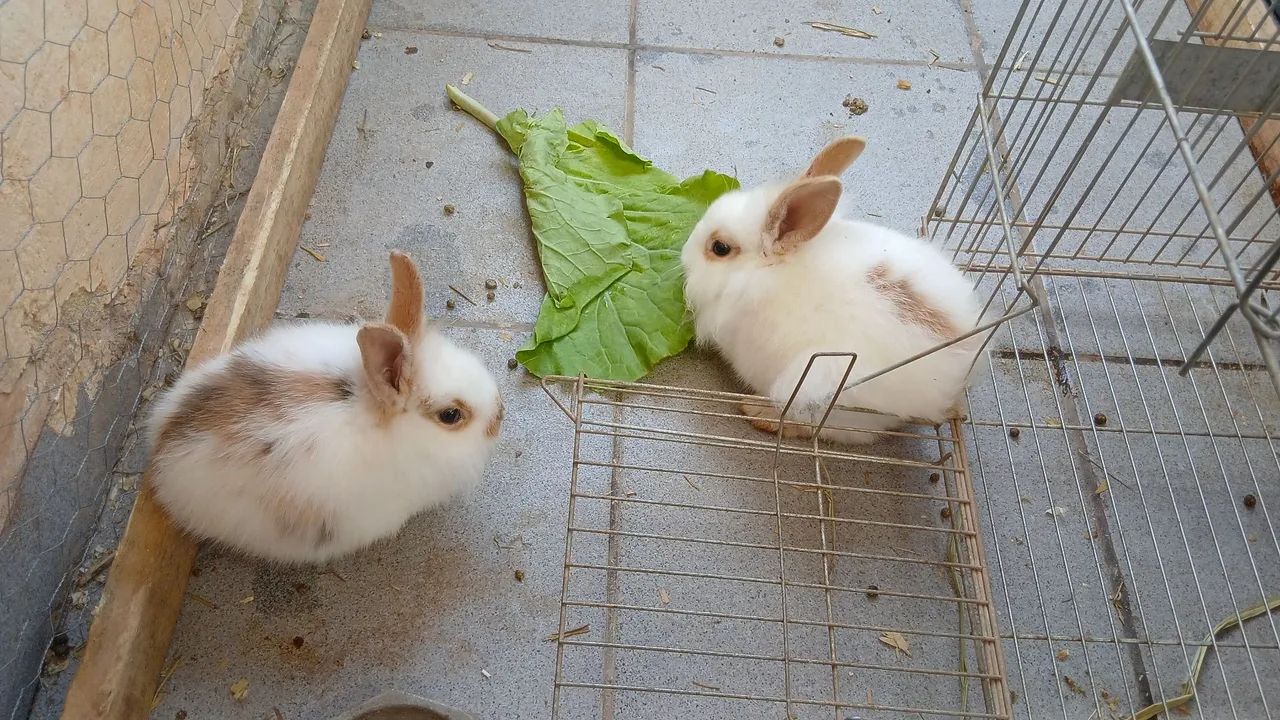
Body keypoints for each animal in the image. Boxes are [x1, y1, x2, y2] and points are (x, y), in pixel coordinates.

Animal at [681, 136, 988, 444]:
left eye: (720, 248)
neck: (764, 271)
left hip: (817, 384)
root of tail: (957, 373)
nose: (683, 256)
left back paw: (757, 411)